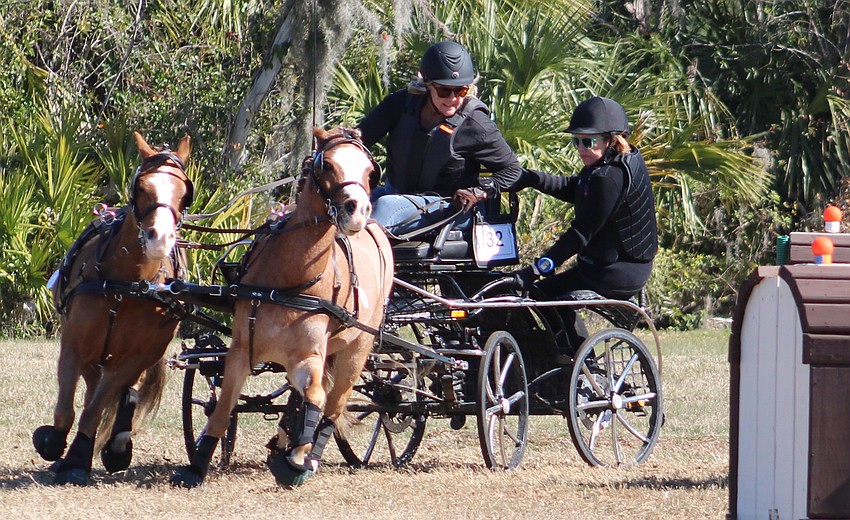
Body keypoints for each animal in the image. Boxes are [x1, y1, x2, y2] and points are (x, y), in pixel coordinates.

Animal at [33, 132, 194, 485]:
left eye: (184, 193)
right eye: (142, 186)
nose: (160, 238)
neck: (125, 284)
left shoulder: (132, 358)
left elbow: (95, 408)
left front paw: (77, 459)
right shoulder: (74, 346)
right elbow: (67, 408)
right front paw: (53, 443)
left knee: (123, 393)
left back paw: (117, 445)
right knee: (95, 390)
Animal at [170, 127, 393, 488]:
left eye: (370, 171)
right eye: (327, 165)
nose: (357, 210)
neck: (289, 281)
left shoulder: (308, 356)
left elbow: (315, 399)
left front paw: (297, 459)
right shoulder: (241, 350)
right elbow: (222, 409)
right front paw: (196, 466)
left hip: (357, 351)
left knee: (333, 405)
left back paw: (308, 455)